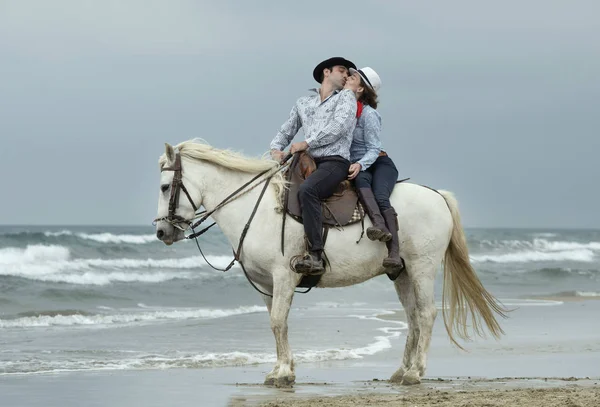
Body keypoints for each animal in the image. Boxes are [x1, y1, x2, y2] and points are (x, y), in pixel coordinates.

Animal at [155, 142, 506, 388]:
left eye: (164, 187)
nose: (161, 232)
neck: (254, 208)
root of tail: (438, 196)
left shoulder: (284, 276)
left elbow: (278, 322)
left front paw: (283, 374)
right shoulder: (267, 284)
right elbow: (275, 323)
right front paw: (279, 370)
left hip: (422, 267)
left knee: (427, 314)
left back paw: (415, 373)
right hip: (402, 271)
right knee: (412, 318)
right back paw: (401, 371)